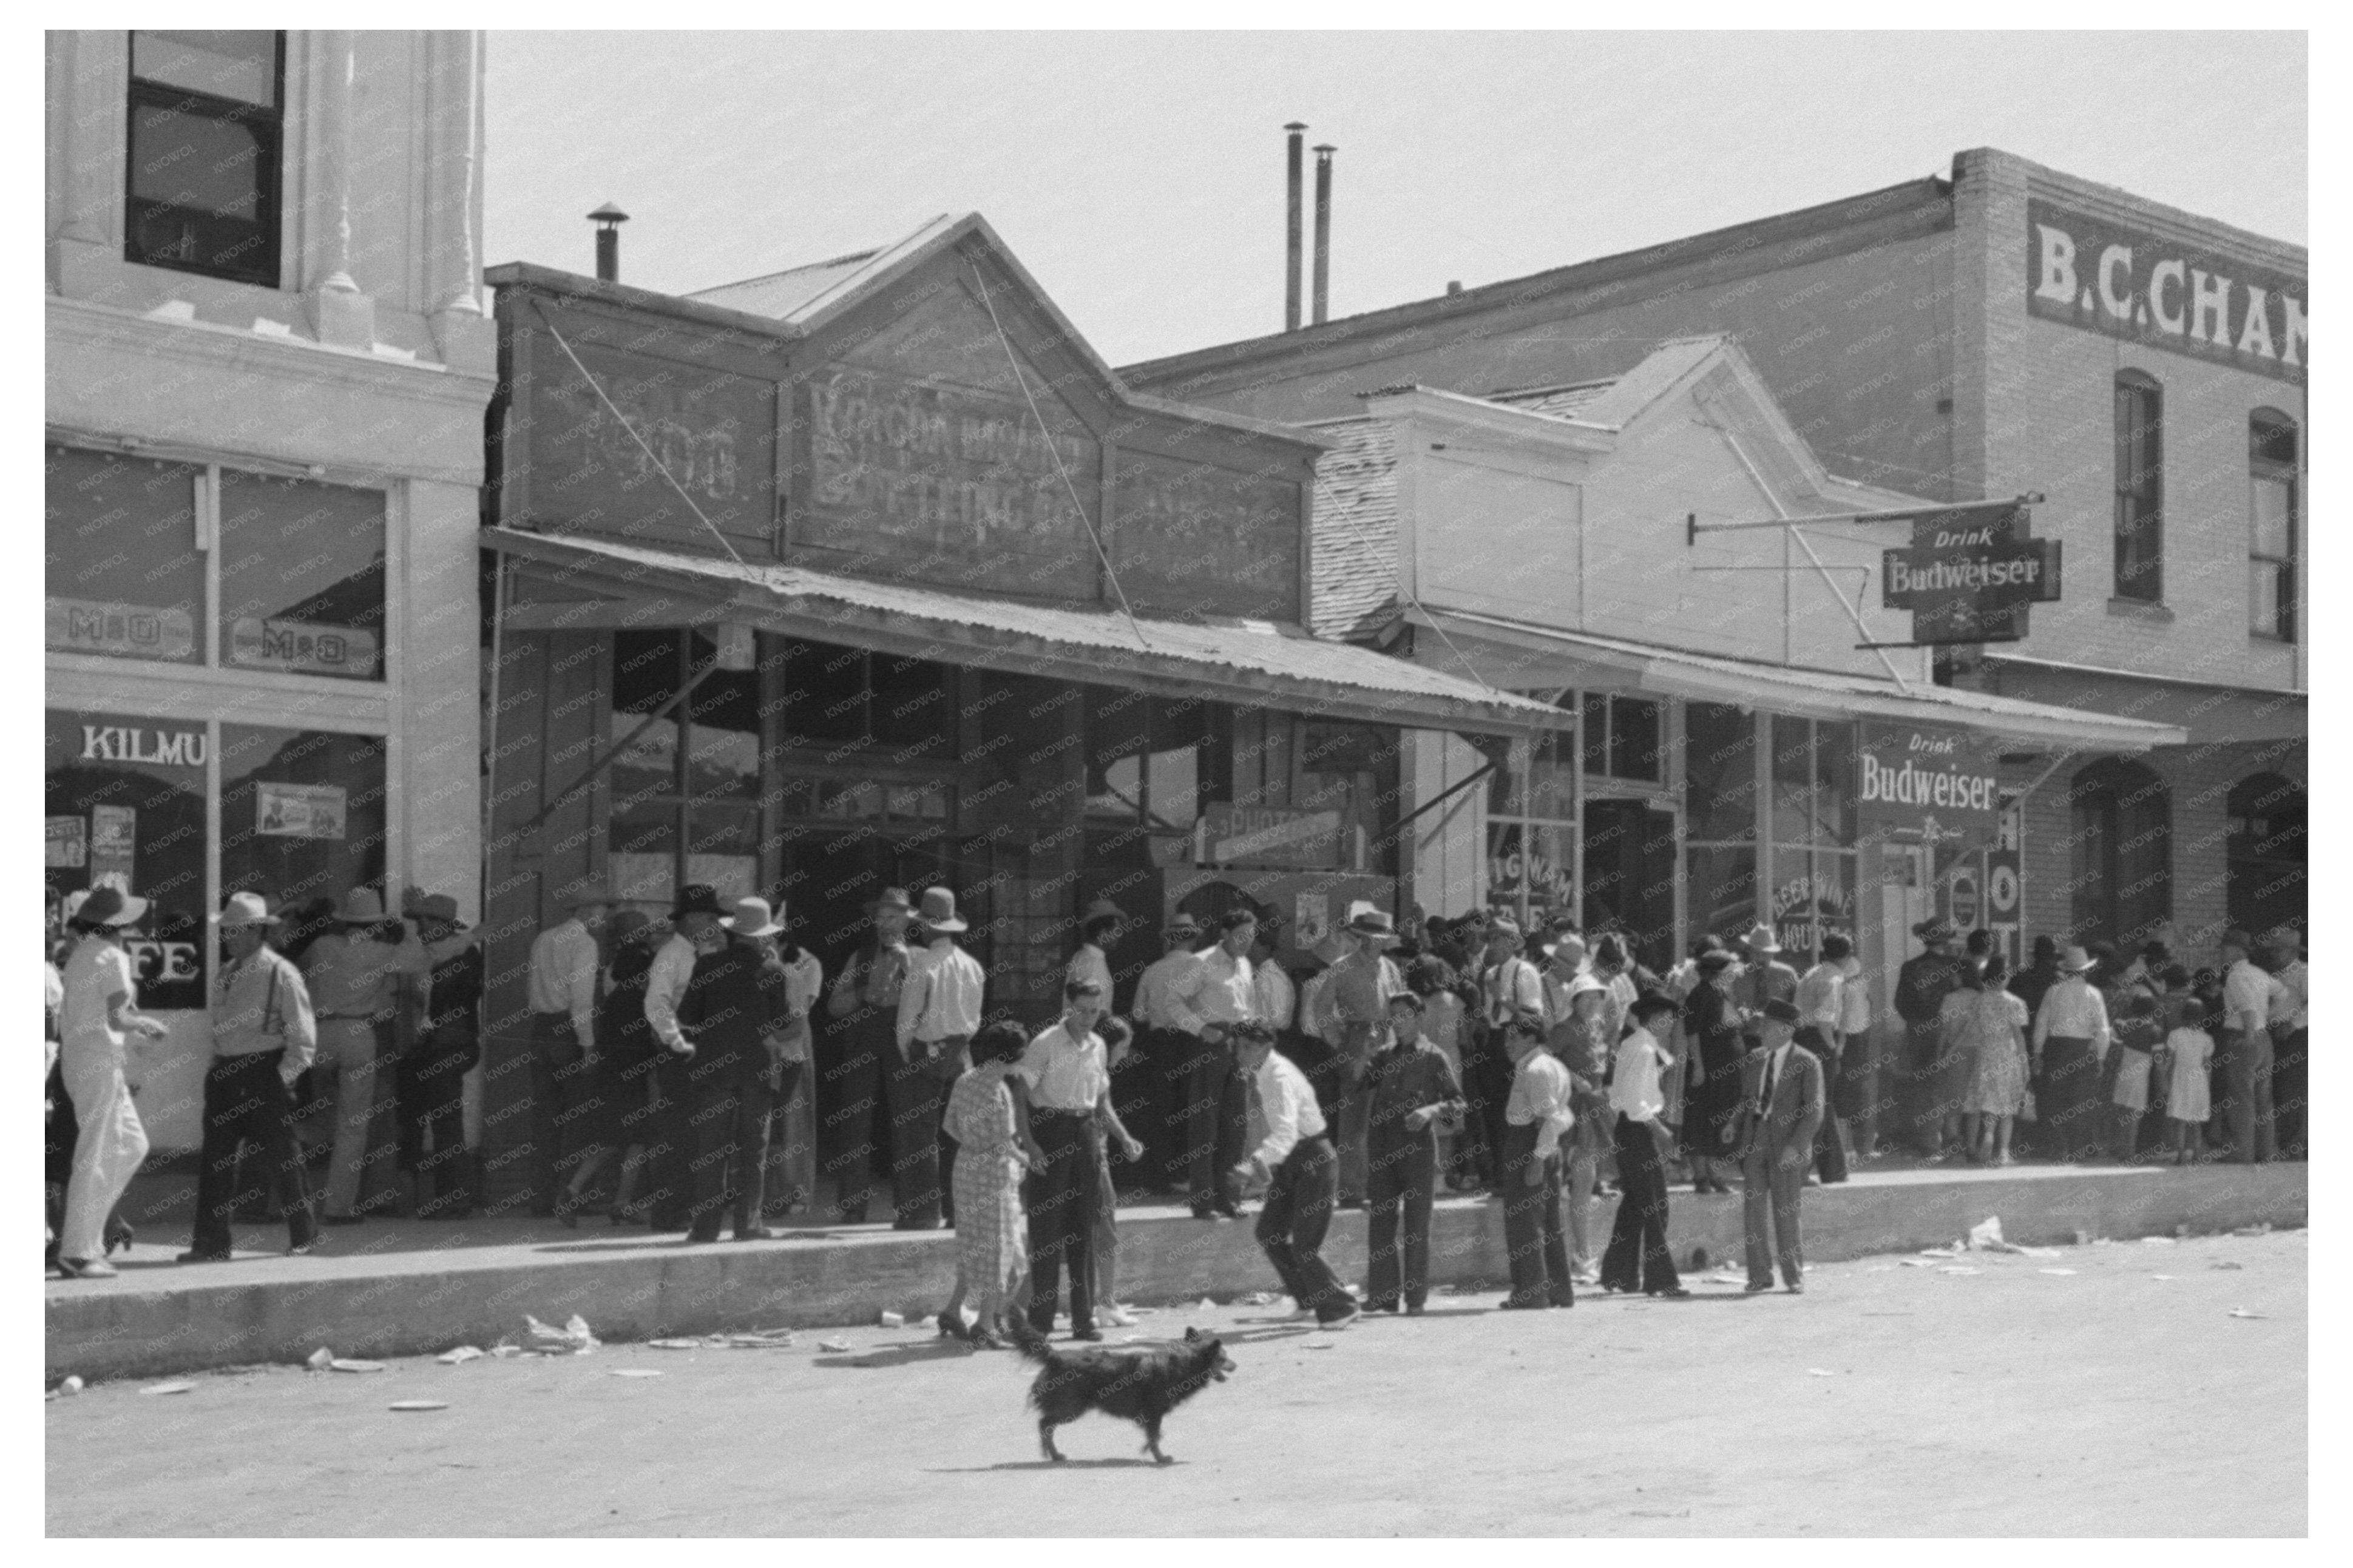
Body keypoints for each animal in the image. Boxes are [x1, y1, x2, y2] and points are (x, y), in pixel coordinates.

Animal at [1007, 1328, 1233, 1459]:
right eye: (1223, 1358)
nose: (1236, 1365)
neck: (1183, 1363)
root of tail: (1055, 1356)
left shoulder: (1151, 1415)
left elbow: (1155, 1435)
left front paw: (1148, 1449)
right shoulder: (1154, 1412)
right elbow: (1155, 1436)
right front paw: (1159, 1457)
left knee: (1047, 1426)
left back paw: (1053, 1454)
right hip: (1071, 1408)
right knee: (1044, 1424)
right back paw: (1051, 1454)